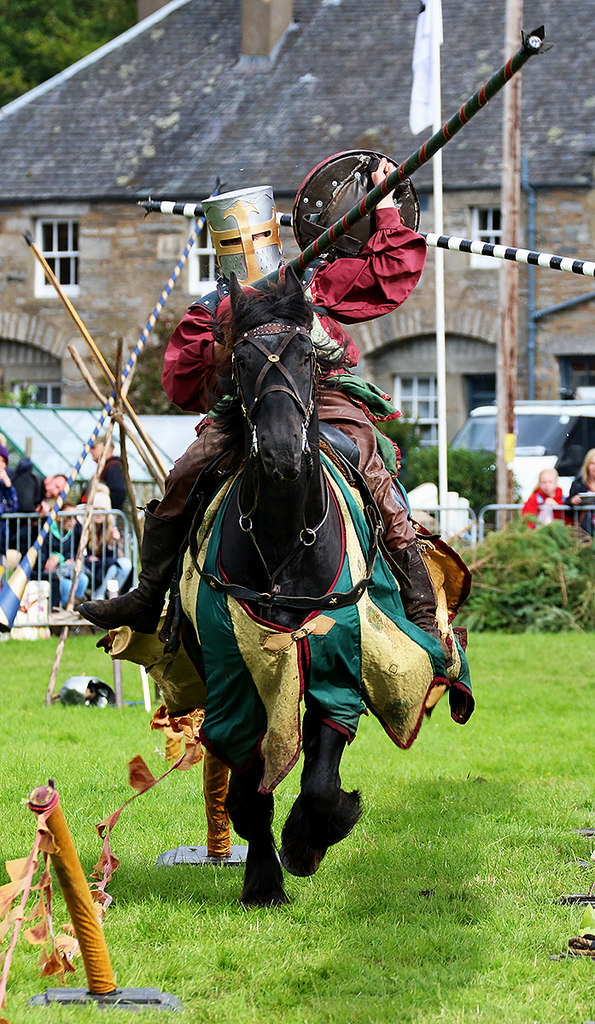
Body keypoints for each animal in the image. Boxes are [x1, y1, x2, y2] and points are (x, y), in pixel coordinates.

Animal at [178, 268, 471, 909]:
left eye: (306, 356)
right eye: (239, 359)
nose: (283, 451)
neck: (285, 534)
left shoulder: (334, 660)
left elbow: (317, 777)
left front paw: (310, 840)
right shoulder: (239, 674)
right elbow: (248, 788)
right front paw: (264, 879)